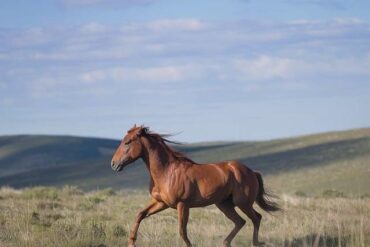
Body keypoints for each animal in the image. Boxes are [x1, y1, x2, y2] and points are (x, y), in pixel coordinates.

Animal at [111, 126, 278, 246]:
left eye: (127, 142)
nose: (113, 164)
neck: (166, 172)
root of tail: (251, 171)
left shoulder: (182, 204)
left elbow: (182, 231)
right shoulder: (161, 203)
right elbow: (140, 214)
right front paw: (131, 242)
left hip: (242, 203)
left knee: (256, 218)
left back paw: (255, 243)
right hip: (224, 204)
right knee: (240, 222)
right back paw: (226, 243)